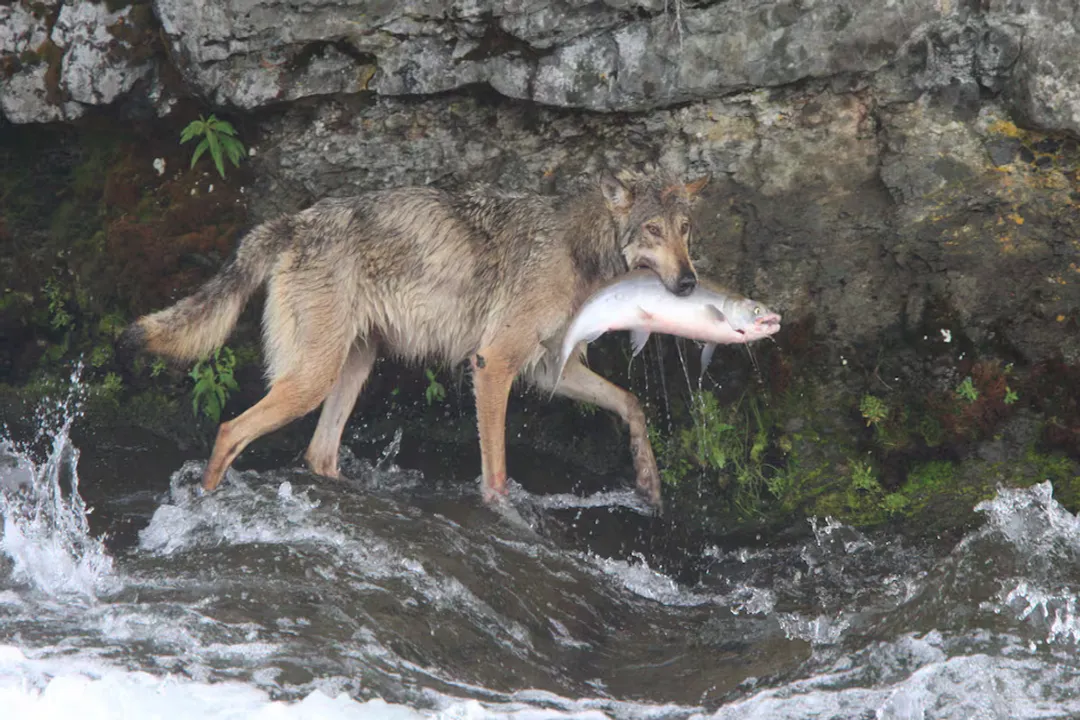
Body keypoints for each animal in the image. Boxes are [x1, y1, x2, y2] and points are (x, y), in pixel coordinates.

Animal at [122, 167, 708, 510]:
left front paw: (648, 481)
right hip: (310, 380)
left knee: (319, 453)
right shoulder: (493, 364)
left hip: (351, 370)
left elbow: (631, 403)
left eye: (685, 230)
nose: (688, 282)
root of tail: (293, 221)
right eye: (653, 230)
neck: (579, 250)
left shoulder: (547, 369)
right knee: (228, 430)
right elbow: (496, 473)